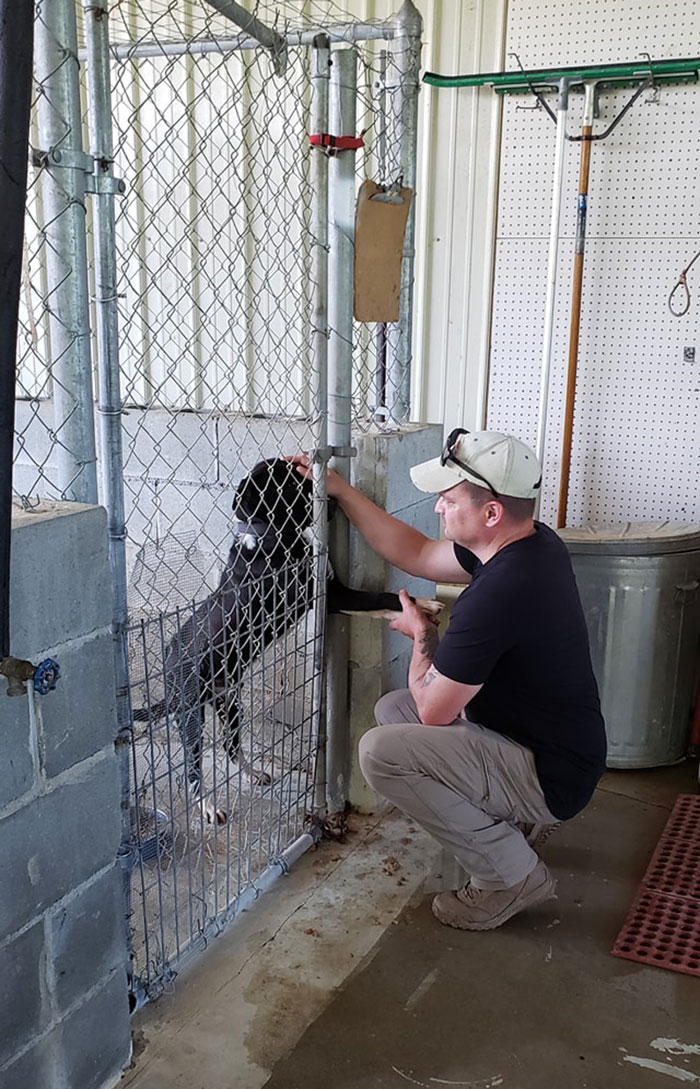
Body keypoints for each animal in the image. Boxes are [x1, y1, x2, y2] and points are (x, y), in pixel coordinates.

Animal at [134, 455, 441, 818]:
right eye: (291, 485)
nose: (330, 495)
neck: (267, 536)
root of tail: (167, 666)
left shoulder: (333, 595)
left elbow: (375, 603)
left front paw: (413, 609)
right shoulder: (329, 596)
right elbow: (380, 596)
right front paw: (420, 605)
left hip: (230, 702)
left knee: (230, 746)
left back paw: (253, 773)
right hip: (191, 713)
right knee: (191, 766)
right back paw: (206, 805)